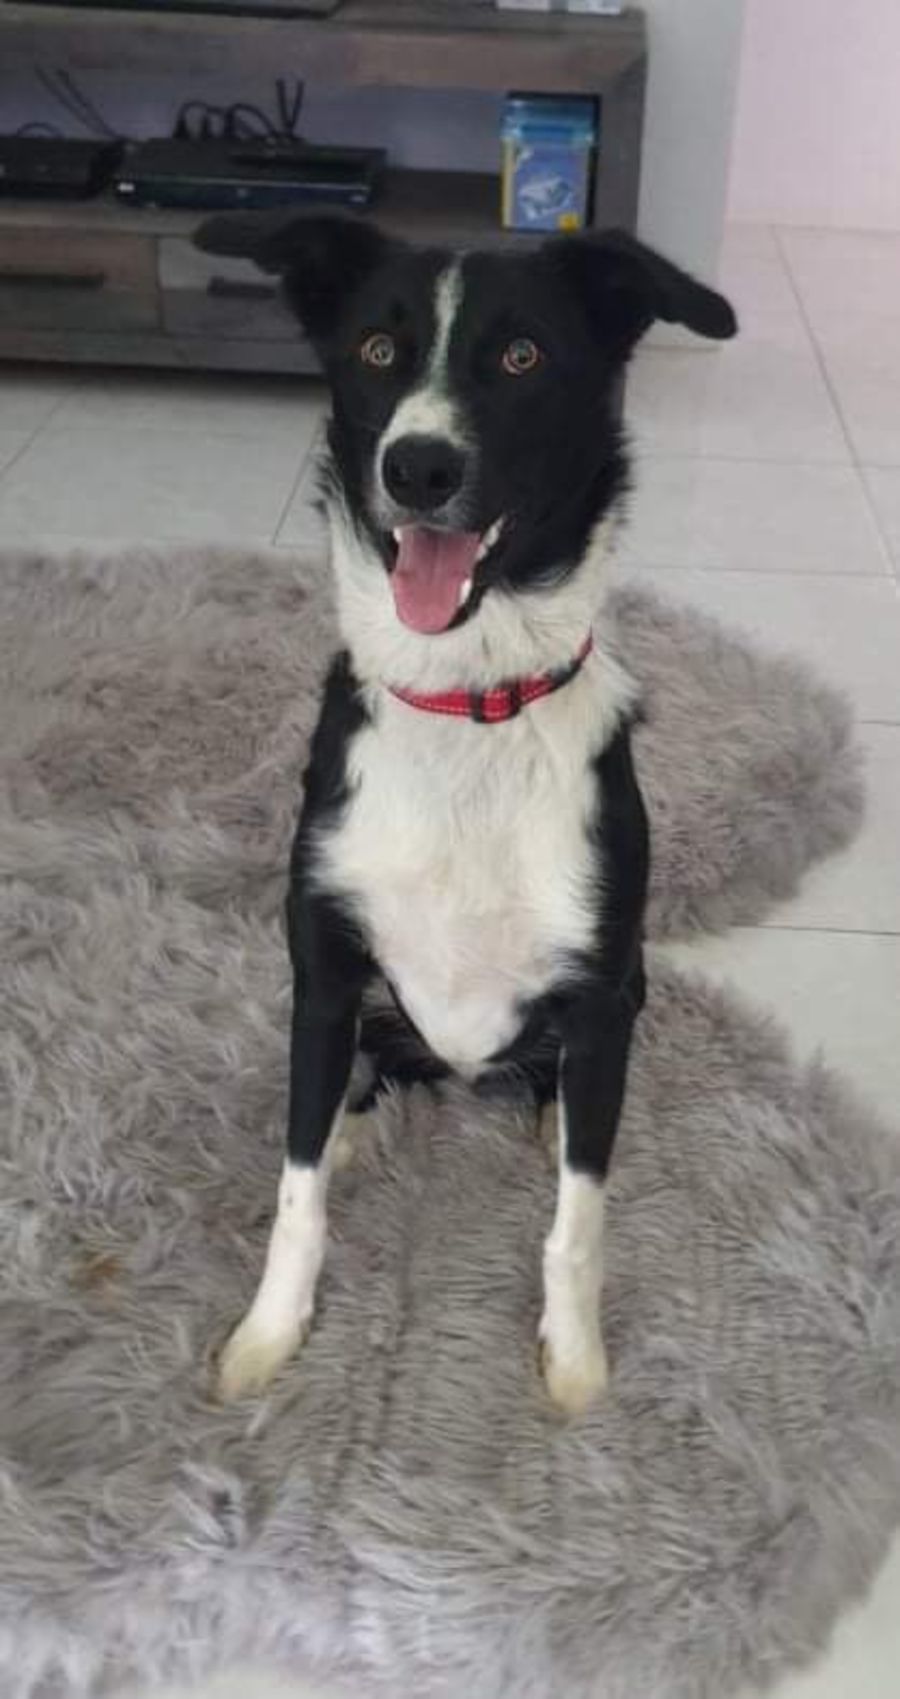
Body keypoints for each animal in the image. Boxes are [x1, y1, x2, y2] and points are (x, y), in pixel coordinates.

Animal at [195, 211, 736, 1413]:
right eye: (377, 351)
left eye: (524, 355)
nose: (418, 465)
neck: (470, 706)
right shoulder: (322, 969)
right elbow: (297, 1192)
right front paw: (268, 1333)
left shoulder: (598, 994)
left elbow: (577, 1223)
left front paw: (574, 1363)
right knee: (358, 1082)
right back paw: (355, 1123)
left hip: (622, 989)